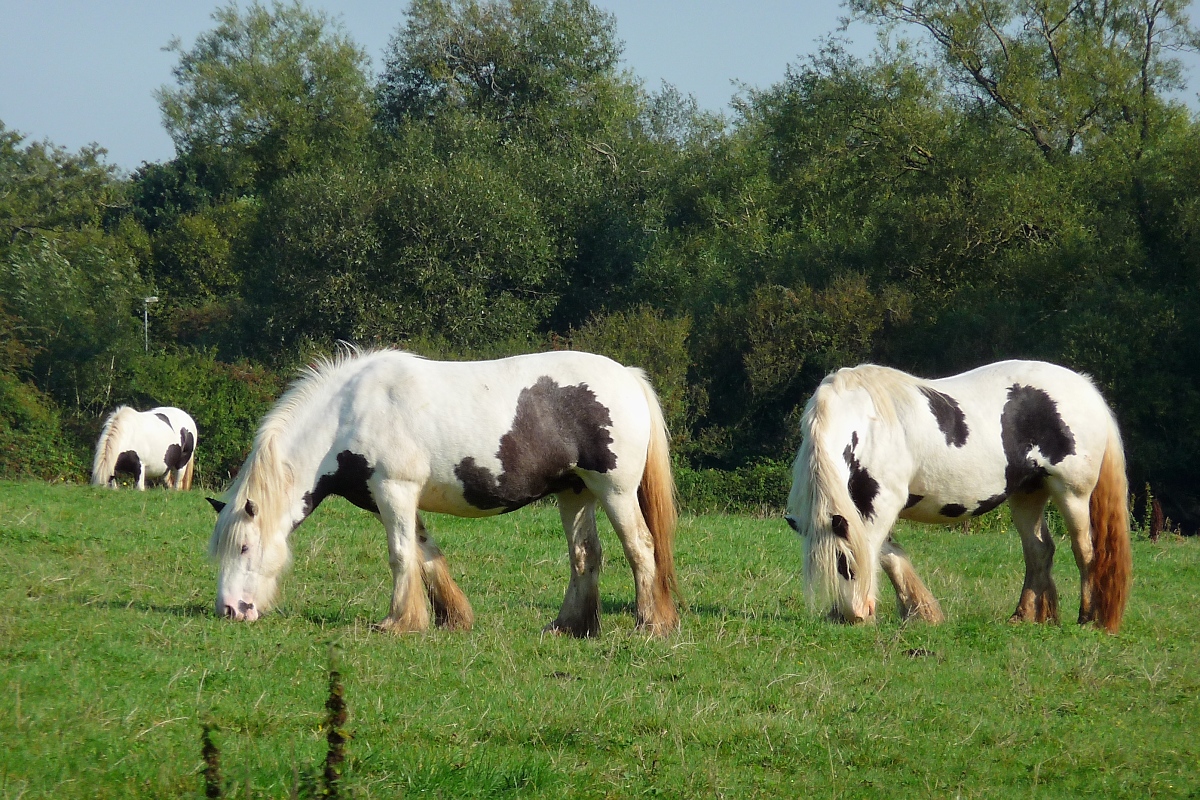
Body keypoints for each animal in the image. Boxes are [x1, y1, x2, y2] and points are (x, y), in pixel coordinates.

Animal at [205, 347, 676, 638]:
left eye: (244, 547)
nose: (229, 611)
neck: (349, 413)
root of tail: (628, 377)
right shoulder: (393, 499)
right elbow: (425, 554)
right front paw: (451, 617)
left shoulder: (394, 490)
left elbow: (400, 555)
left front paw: (398, 622)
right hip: (575, 494)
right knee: (585, 556)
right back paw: (569, 627)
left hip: (615, 491)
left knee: (640, 547)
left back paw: (650, 624)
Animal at [782, 362, 1128, 633]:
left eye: (846, 564)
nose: (853, 615)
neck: (865, 425)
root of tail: (1085, 386)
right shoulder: (862, 505)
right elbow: (888, 553)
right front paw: (920, 612)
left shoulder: (881, 503)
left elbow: (872, 548)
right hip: (1027, 494)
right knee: (1039, 551)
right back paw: (1025, 616)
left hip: (1072, 493)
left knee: (1085, 551)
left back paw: (1088, 618)